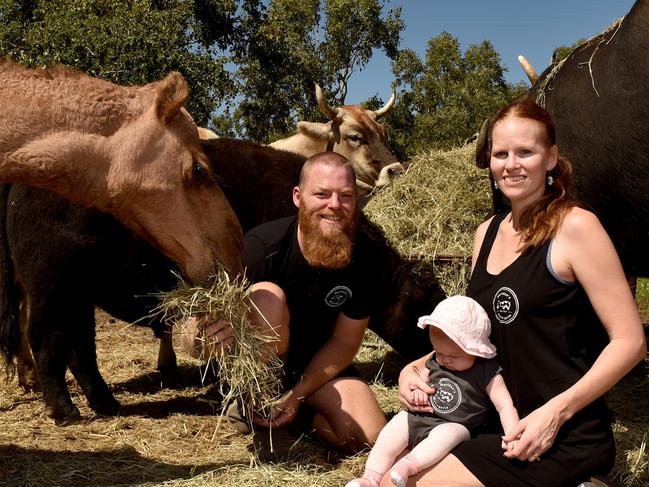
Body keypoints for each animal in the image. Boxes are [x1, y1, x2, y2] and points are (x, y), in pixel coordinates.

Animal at [0, 138, 438, 424]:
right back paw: (66, 411)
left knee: (81, 348)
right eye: (425, 308)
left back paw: (106, 404)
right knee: (46, 340)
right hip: (50, 287)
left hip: (78, 295)